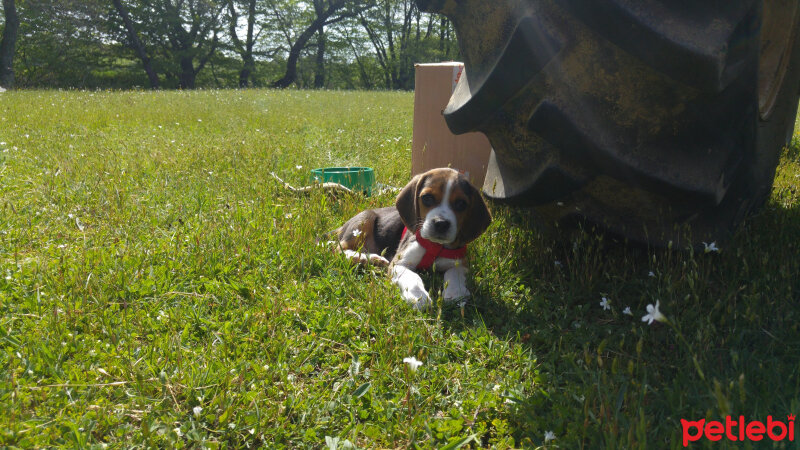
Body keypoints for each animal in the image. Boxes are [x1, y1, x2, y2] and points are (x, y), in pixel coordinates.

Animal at [328, 167, 490, 312]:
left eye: (461, 204)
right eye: (427, 198)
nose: (441, 224)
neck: (435, 246)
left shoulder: (460, 263)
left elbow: (455, 274)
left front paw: (456, 291)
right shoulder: (399, 263)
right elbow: (412, 276)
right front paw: (418, 297)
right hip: (364, 220)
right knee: (338, 248)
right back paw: (368, 258)